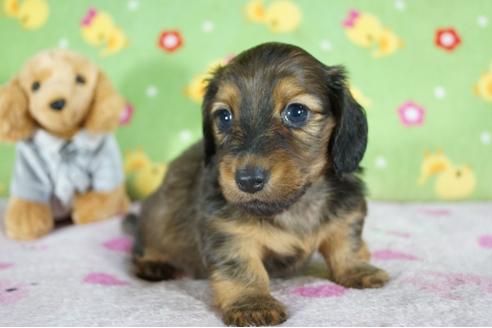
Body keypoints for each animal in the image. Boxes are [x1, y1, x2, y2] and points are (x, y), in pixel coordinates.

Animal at [132, 41, 388, 326]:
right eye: (224, 116)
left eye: (297, 112)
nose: (247, 181)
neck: (293, 205)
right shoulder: (229, 233)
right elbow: (243, 271)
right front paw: (253, 304)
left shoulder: (347, 211)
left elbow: (346, 243)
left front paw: (358, 267)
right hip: (154, 218)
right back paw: (154, 263)